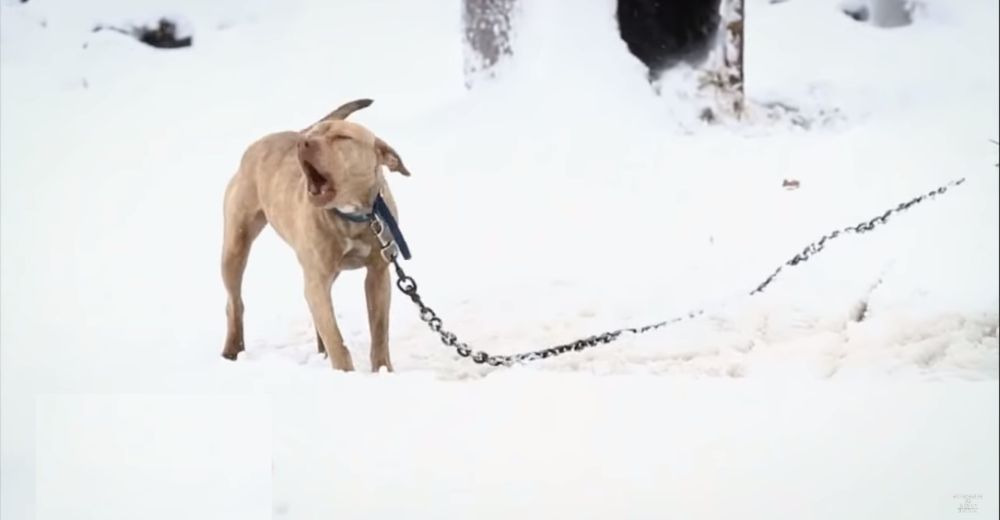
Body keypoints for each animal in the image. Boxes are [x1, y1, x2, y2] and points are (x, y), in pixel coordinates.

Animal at [221, 99, 408, 372]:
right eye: (315, 134)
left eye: (342, 137)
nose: (304, 142)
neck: (351, 216)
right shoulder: (317, 279)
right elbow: (334, 335)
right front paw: (345, 372)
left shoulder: (378, 274)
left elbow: (379, 331)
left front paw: (383, 371)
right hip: (235, 246)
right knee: (235, 303)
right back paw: (233, 348)